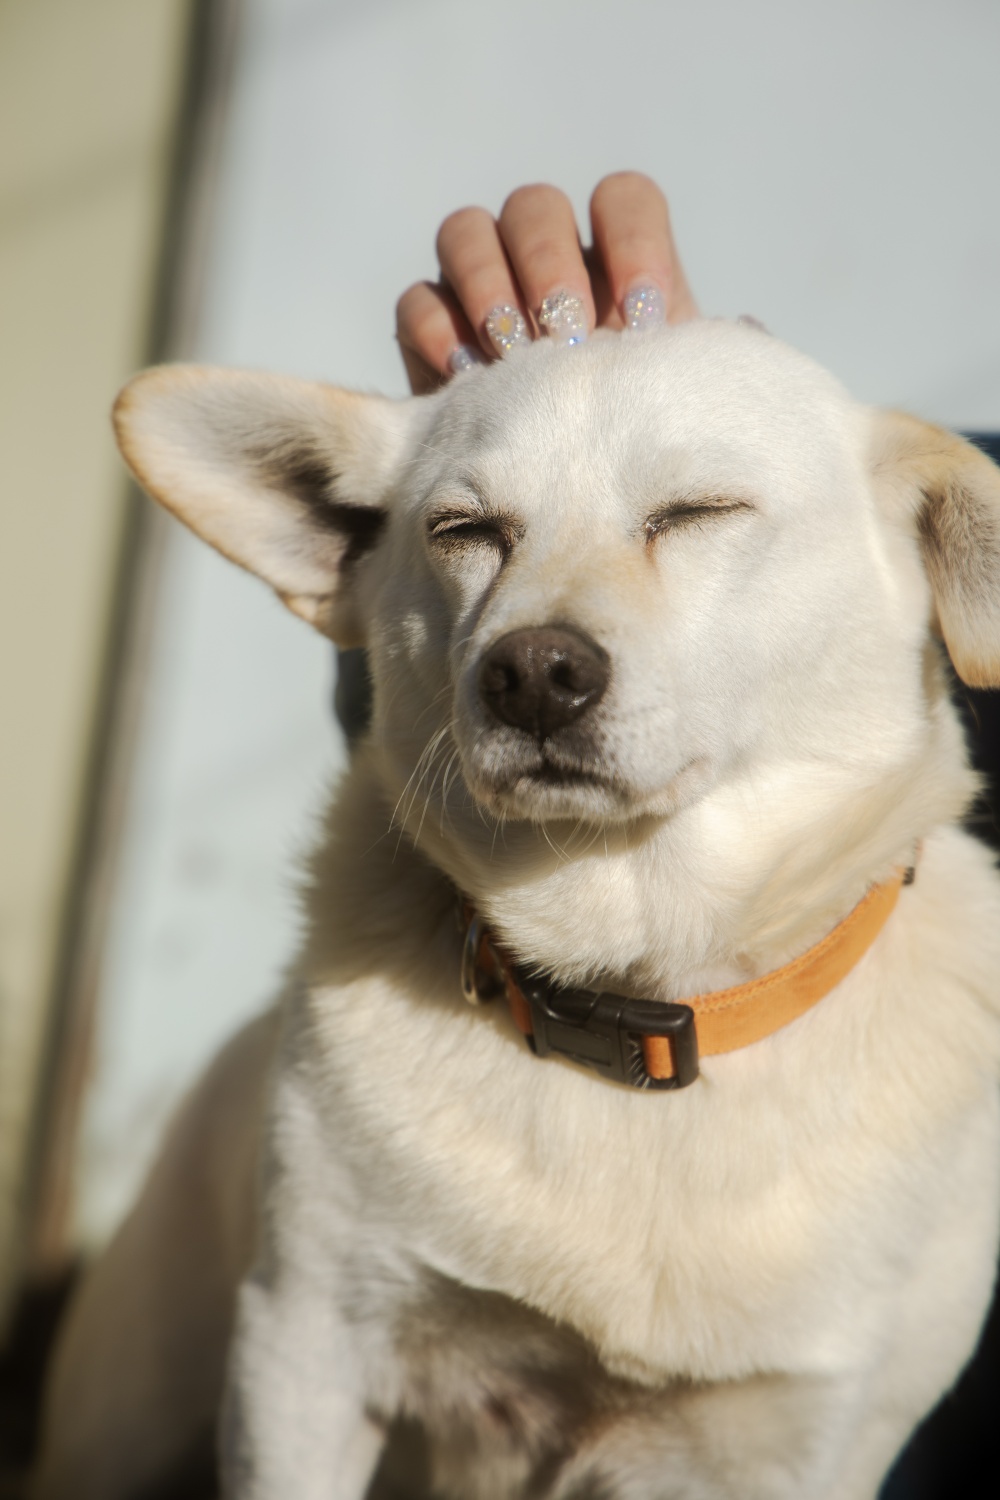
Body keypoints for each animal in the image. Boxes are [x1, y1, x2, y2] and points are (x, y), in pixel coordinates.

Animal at [33, 321, 1000, 1500]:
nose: (532, 672)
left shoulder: (800, 1444)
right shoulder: (302, 1352)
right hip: (123, 1423)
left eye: (697, 513)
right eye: (465, 532)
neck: (631, 996)